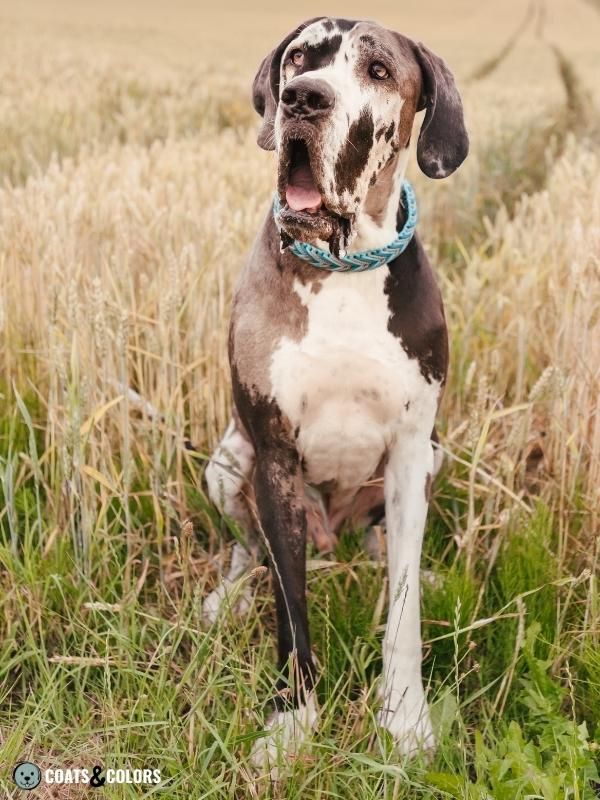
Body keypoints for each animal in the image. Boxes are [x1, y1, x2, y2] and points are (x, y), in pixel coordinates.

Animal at [206, 17, 468, 768]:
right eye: (300, 58)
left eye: (378, 70)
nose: (303, 98)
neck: (345, 269)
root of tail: (335, 537)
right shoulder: (274, 454)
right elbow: (289, 605)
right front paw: (292, 721)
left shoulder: (410, 452)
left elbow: (403, 611)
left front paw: (405, 721)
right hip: (226, 461)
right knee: (249, 550)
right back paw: (230, 596)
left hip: (432, 459)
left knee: (383, 546)